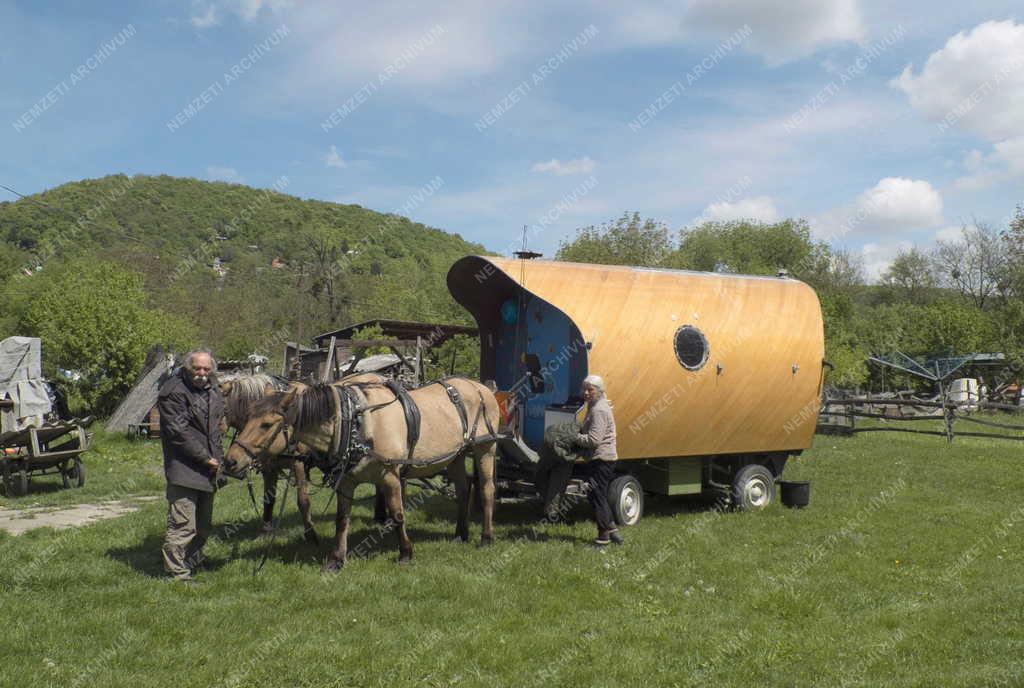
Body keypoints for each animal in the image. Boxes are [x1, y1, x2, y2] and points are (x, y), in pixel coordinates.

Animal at [222, 376, 501, 569]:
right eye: (247, 416)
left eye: (267, 424)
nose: (230, 461)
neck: (354, 423)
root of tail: (481, 387)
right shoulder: (346, 480)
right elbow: (341, 519)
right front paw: (336, 559)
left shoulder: (390, 475)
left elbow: (398, 514)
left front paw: (405, 553)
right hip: (455, 455)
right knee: (464, 488)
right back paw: (460, 534)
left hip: (485, 449)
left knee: (486, 488)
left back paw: (486, 537)